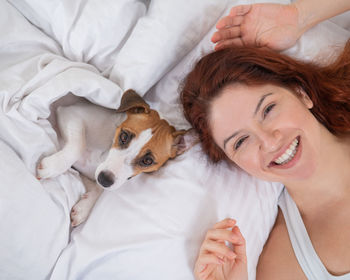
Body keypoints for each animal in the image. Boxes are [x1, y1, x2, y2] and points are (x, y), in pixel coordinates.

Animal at [37, 91, 197, 226]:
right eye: (124, 136)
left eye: (147, 161)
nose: (104, 179)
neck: (104, 152)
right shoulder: (70, 113)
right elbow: (78, 145)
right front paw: (52, 166)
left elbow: (99, 189)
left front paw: (84, 208)